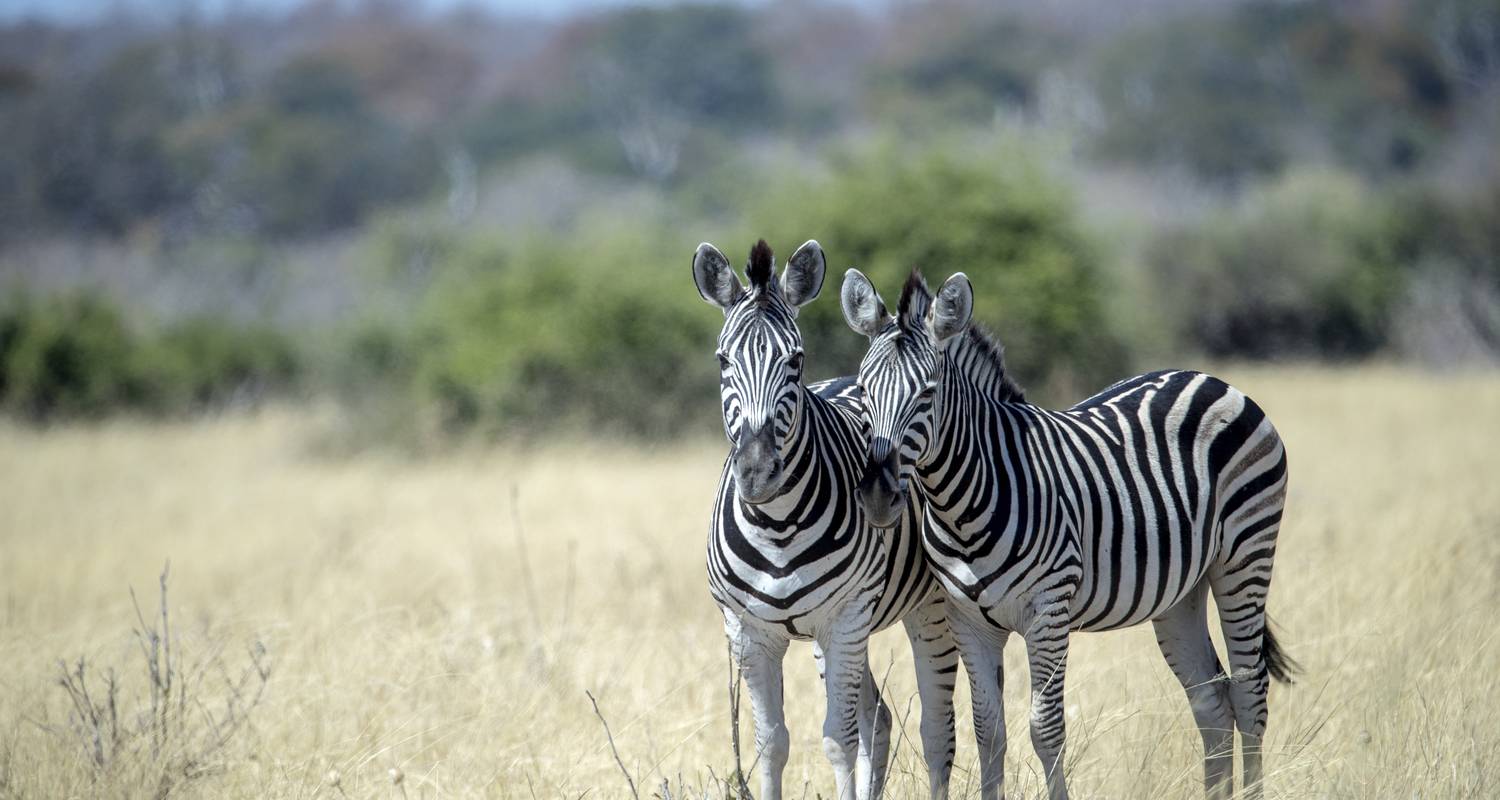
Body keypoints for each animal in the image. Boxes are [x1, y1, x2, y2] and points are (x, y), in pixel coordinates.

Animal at [693, 238, 954, 798]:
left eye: (796, 360)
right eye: (723, 360)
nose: (757, 473)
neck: (776, 527)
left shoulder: (847, 615)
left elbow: (838, 739)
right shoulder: (747, 630)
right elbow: (771, 743)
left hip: (927, 609)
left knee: (936, 723)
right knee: (878, 720)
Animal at [840, 270, 1296, 798]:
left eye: (928, 394)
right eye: (864, 391)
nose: (877, 495)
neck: (964, 505)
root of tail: (1209, 379)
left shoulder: (1049, 613)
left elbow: (1046, 729)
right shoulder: (968, 621)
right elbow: (987, 730)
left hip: (1245, 557)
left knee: (1249, 691)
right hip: (1181, 592)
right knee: (1213, 700)